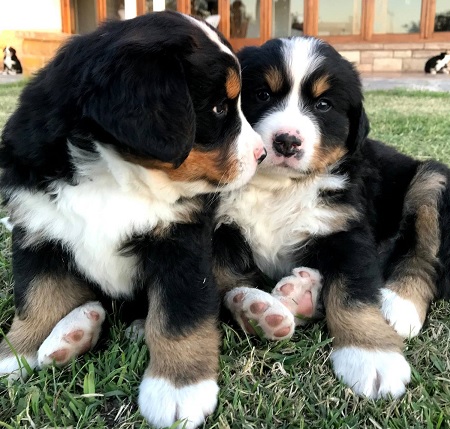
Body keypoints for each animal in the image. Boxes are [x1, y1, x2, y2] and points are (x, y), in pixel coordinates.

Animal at [0, 10, 264, 428]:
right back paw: (73, 333)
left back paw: (265, 309)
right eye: (219, 109)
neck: (115, 175)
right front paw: (16, 352)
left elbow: (180, 315)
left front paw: (179, 389)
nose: (263, 154)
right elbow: (37, 299)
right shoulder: (37, 231)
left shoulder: (183, 240)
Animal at [214, 36, 450, 398]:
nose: (287, 141)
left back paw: (398, 305)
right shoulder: (220, 228)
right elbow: (225, 277)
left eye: (323, 105)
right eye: (262, 95)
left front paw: (371, 357)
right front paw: (253, 308)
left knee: (424, 257)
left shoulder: (345, 229)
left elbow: (353, 294)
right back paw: (299, 294)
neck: (278, 188)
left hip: (431, 179)